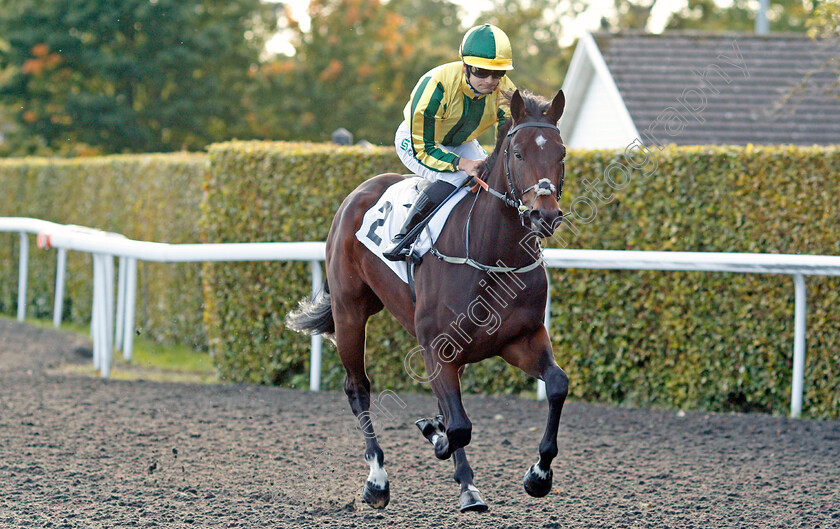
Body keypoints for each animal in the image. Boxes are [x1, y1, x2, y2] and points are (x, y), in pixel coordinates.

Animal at [288, 87, 572, 512]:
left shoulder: (521, 339)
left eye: (561, 153)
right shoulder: (437, 346)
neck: (492, 255)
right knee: (358, 388)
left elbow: (556, 385)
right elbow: (458, 427)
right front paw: (437, 439)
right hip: (350, 310)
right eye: (518, 153)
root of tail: (359, 192)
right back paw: (378, 481)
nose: (545, 215)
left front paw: (538, 476)